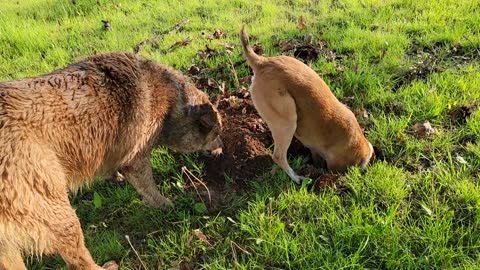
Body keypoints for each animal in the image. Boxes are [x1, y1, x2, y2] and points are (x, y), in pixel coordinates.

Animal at [0, 51, 221, 268]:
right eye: (216, 133)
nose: (221, 150)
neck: (172, 99)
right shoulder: (136, 159)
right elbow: (149, 188)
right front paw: (164, 204)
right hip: (59, 214)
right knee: (79, 260)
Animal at [240, 26, 376, 184]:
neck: (358, 143)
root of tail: (263, 62)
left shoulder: (316, 152)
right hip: (287, 120)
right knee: (278, 156)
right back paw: (297, 177)